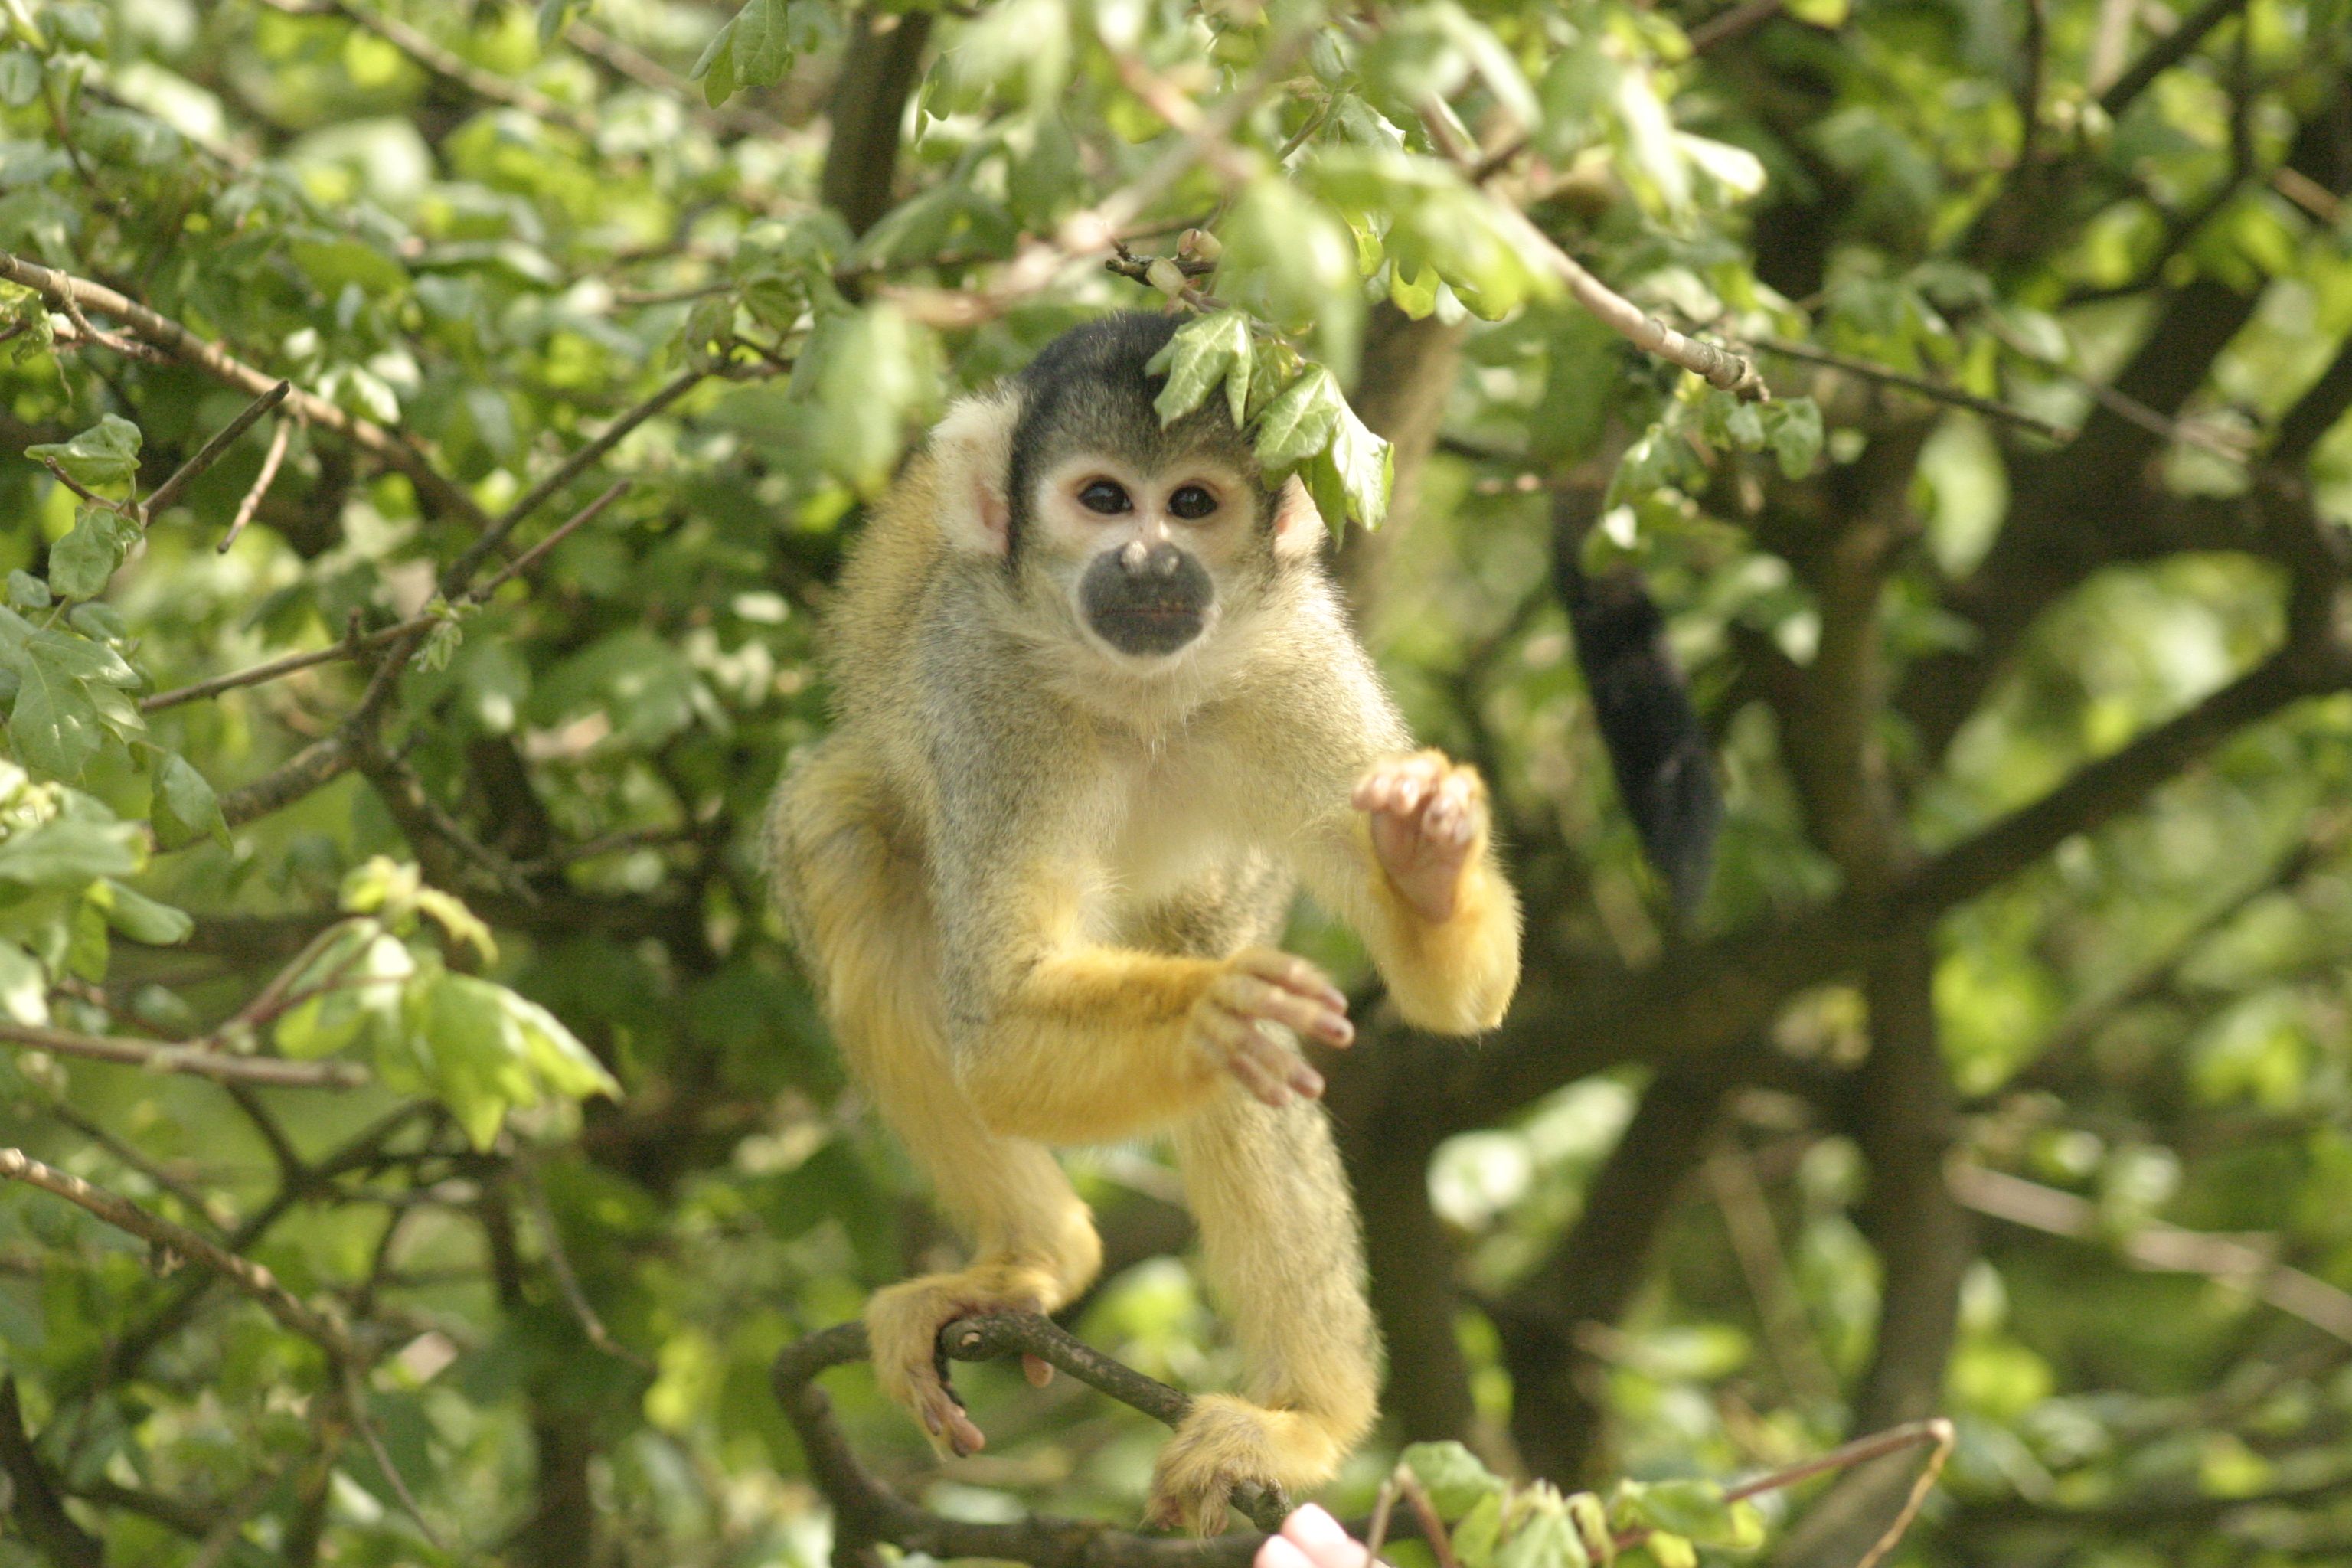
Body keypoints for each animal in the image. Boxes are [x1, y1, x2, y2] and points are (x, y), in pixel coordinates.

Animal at [765, 311, 1522, 1532]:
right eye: (1105, 499)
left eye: (1195, 504)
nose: (1152, 562)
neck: (1140, 691)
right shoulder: (986, 689)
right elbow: (998, 1029)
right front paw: (1212, 1014)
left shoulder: (1303, 670)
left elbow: (1461, 996)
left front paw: (1426, 865)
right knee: (841, 838)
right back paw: (1041, 1252)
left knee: (1226, 1001)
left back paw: (1302, 1419)